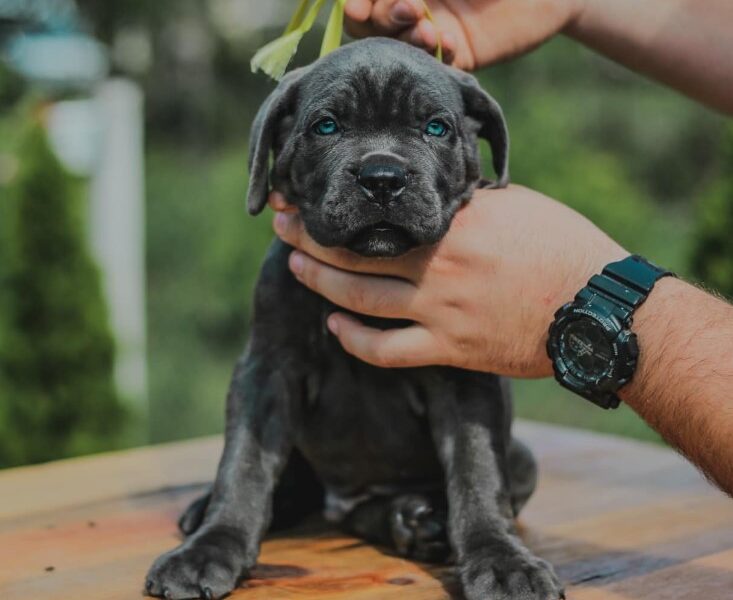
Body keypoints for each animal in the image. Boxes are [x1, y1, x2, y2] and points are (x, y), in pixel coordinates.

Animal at [146, 38, 564, 600]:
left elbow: (477, 473)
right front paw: (211, 546)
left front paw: (501, 559)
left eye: (436, 127)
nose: (382, 177)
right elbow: (244, 464)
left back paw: (415, 521)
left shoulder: (464, 380)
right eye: (326, 126)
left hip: (520, 457)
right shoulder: (267, 372)